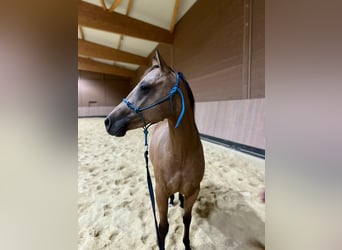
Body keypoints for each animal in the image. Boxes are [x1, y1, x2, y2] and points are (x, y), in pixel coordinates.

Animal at [104, 49, 204, 249]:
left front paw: (186, 243)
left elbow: (187, 219)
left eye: (144, 87)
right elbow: (163, 227)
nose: (108, 121)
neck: (181, 153)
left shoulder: (193, 192)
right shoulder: (159, 192)